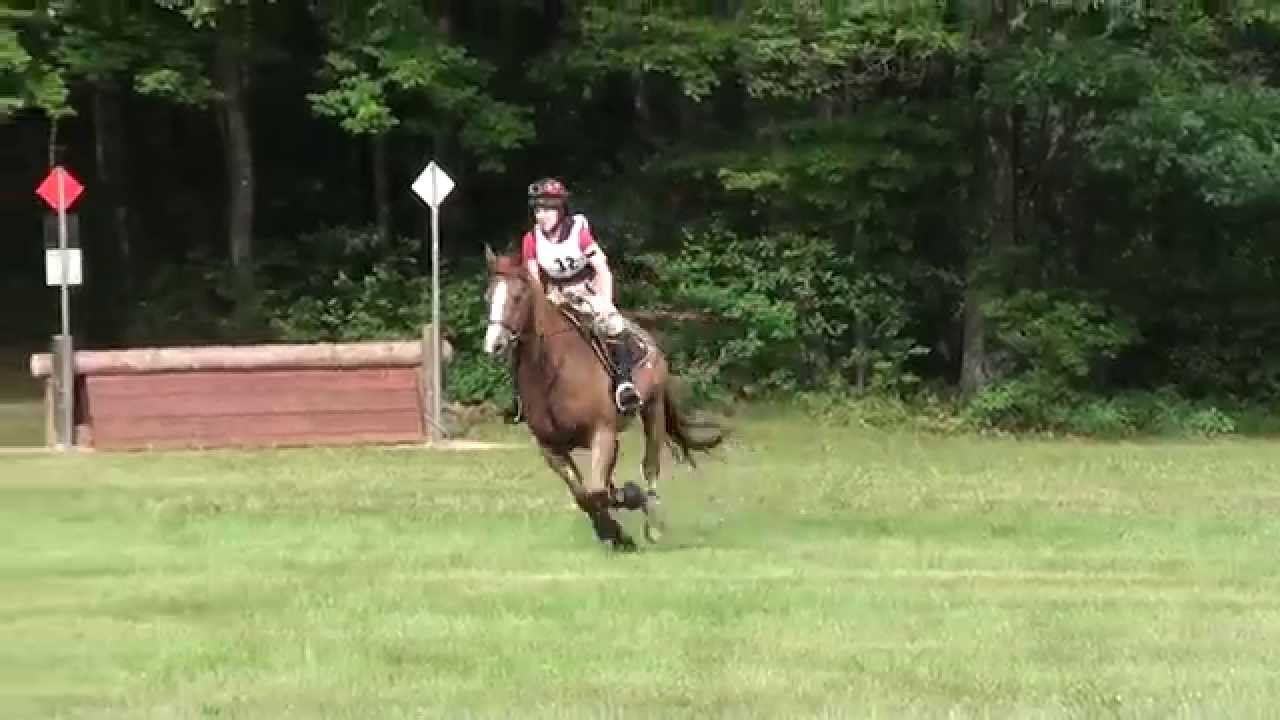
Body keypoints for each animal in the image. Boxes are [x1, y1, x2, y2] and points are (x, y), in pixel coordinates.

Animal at [481, 245, 724, 551]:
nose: (494, 345)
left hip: (652, 410)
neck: (552, 370)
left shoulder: (602, 433)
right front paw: (613, 533)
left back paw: (652, 519)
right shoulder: (551, 447)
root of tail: (648, 338)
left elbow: (597, 492)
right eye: (488, 297)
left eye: (518, 296)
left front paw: (626, 510)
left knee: (651, 466)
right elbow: (585, 495)